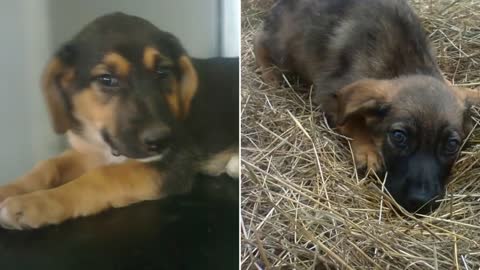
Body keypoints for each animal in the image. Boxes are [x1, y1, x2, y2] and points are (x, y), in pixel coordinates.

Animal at [0, 11, 238, 229]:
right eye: (107, 79)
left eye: (163, 72)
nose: (160, 140)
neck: (106, 144)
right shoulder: (89, 150)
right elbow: (49, 165)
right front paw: (10, 190)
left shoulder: (173, 163)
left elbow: (102, 176)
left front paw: (35, 203)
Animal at [256, 0, 478, 214]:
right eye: (399, 136)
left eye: (452, 144)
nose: (420, 202)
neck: (406, 66)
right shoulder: (330, 92)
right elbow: (353, 121)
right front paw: (368, 152)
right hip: (283, 47)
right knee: (260, 44)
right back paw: (270, 76)